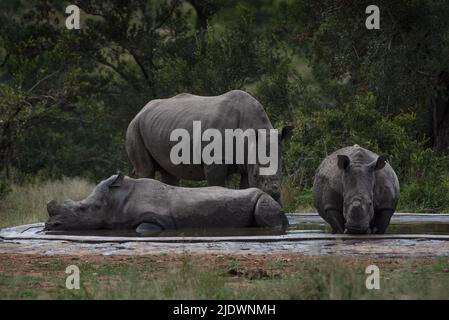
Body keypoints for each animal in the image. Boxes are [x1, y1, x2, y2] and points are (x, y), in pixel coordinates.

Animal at [125, 89, 290, 204]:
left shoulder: (246, 161)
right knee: (146, 169)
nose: (274, 198)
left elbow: (246, 187)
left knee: (169, 173)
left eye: (282, 172)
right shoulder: (216, 161)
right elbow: (217, 185)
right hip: (134, 127)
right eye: (256, 175)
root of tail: (141, 110)